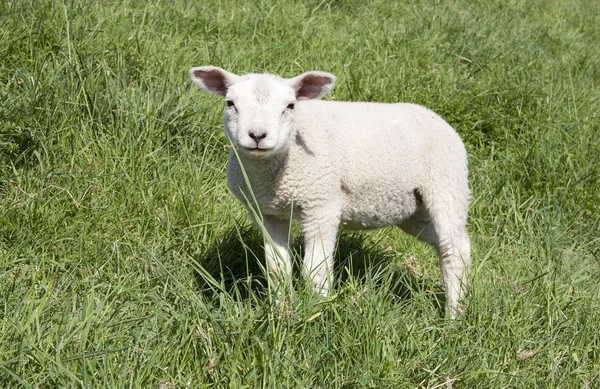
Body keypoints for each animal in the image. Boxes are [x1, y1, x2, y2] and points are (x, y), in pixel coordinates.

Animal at [190, 65, 472, 316]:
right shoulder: (266, 213)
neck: (271, 176)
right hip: (413, 210)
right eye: (230, 103)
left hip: (447, 185)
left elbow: (315, 270)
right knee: (455, 245)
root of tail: (434, 115)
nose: (257, 135)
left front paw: (316, 312)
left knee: (454, 251)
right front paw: (281, 311)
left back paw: (453, 316)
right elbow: (277, 268)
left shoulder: (321, 204)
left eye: (290, 106)